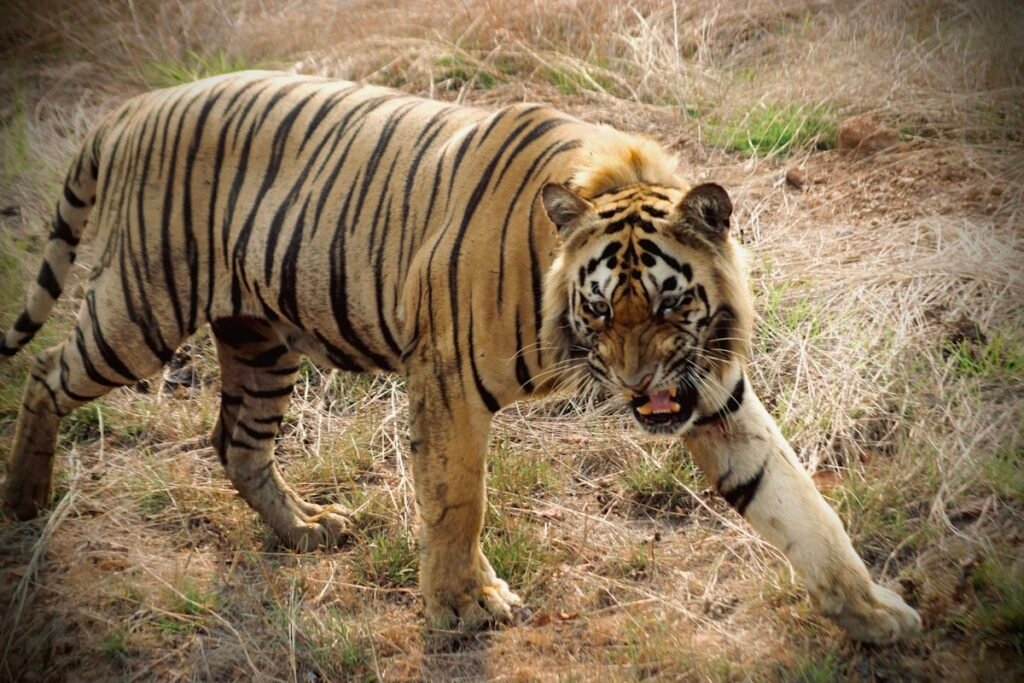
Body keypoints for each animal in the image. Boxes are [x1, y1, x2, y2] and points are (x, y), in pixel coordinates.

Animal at [1, 71, 920, 642]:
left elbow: (804, 509)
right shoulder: (444, 377)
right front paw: (464, 606)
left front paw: (875, 614)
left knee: (237, 441)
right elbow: (456, 501)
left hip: (257, 337)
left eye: (668, 302)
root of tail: (132, 108)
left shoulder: (715, 391)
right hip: (140, 309)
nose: (636, 385)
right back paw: (23, 499)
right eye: (598, 307)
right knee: (44, 375)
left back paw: (306, 528)